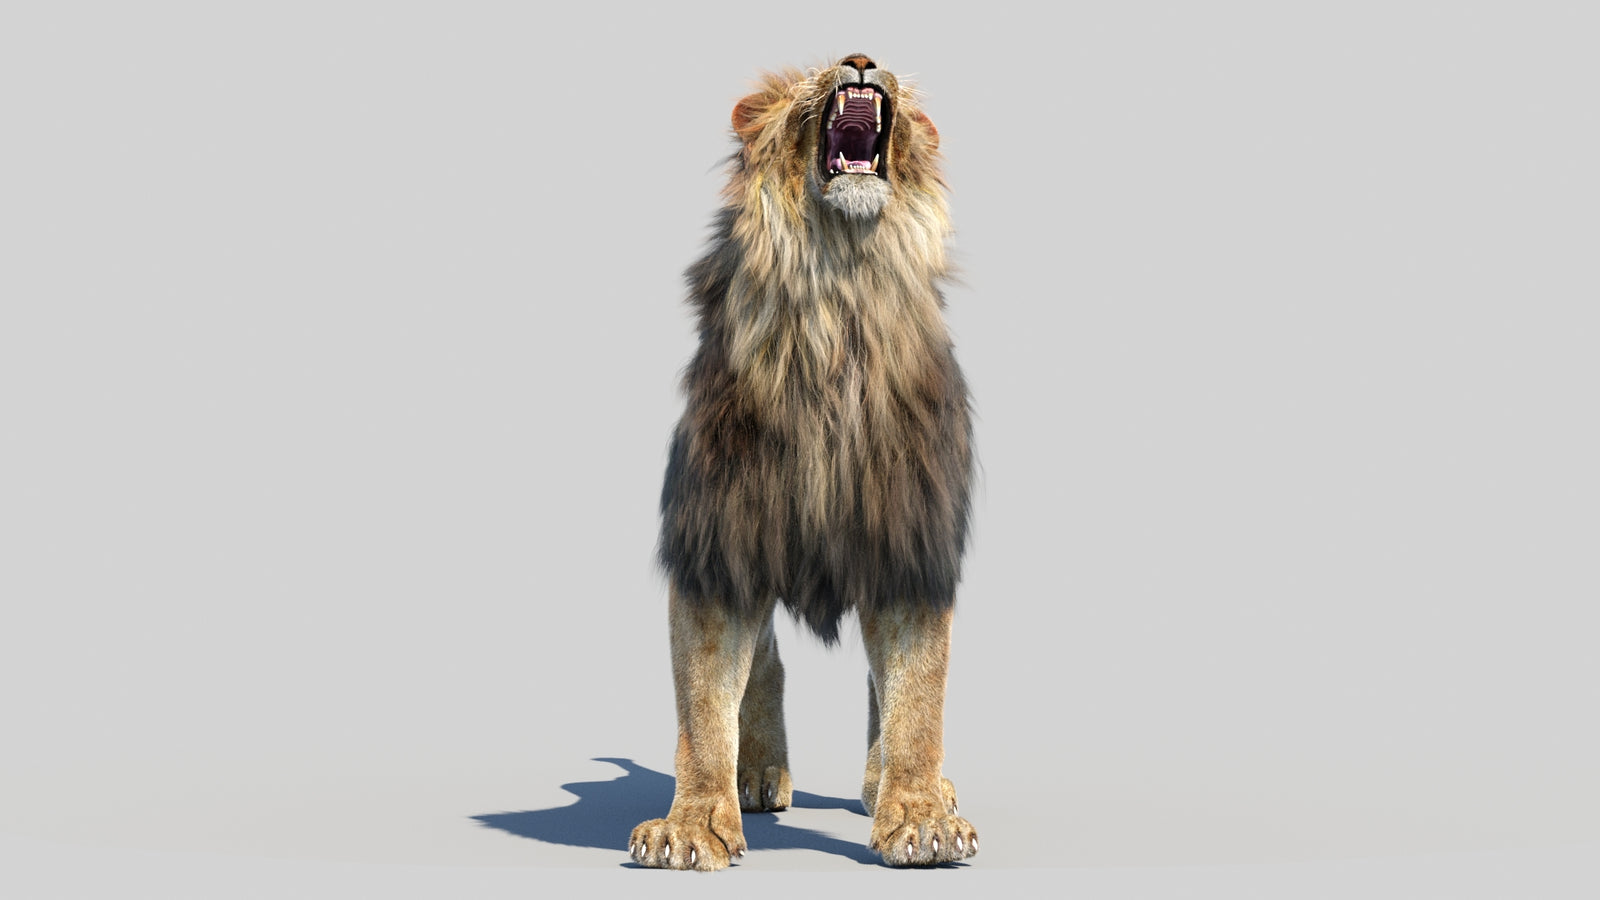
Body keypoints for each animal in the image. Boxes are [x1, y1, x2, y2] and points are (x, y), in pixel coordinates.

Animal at [629, 54, 977, 870]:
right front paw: (693, 824)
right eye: (805, 86)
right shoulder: (719, 539)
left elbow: (917, 694)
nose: (860, 58)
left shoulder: (910, 542)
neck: (838, 292)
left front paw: (920, 817)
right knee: (765, 661)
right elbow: (703, 700)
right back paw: (756, 774)